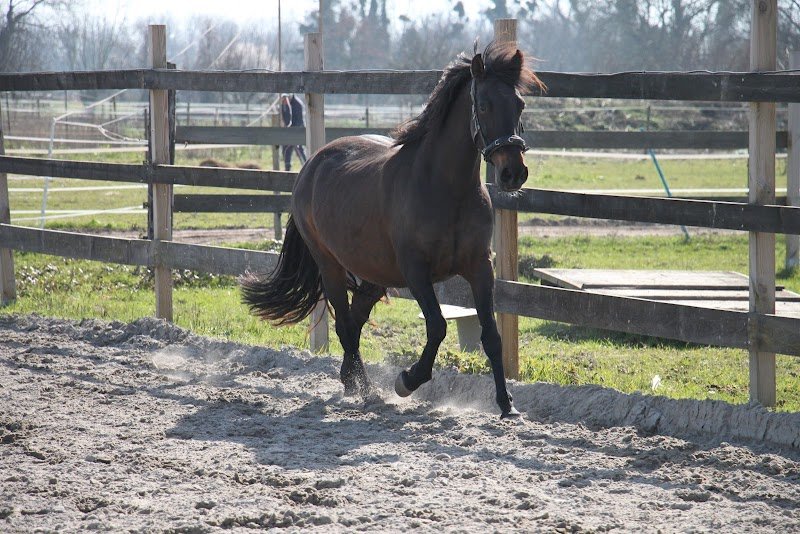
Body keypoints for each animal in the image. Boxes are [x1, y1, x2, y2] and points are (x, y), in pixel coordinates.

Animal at [241, 42, 543, 418]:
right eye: (484, 104)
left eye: (520, 104)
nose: (513, 173)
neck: (446, 189)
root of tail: (311, 165)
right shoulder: (416, 271)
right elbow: (437, 326)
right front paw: (407, 380)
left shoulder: (480, 267)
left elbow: (491, 335)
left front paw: (506, 405)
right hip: (330, 267)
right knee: (345, 324)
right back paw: (364, 389)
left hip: (373, 276)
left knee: (354, 322)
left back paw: (353, 382)